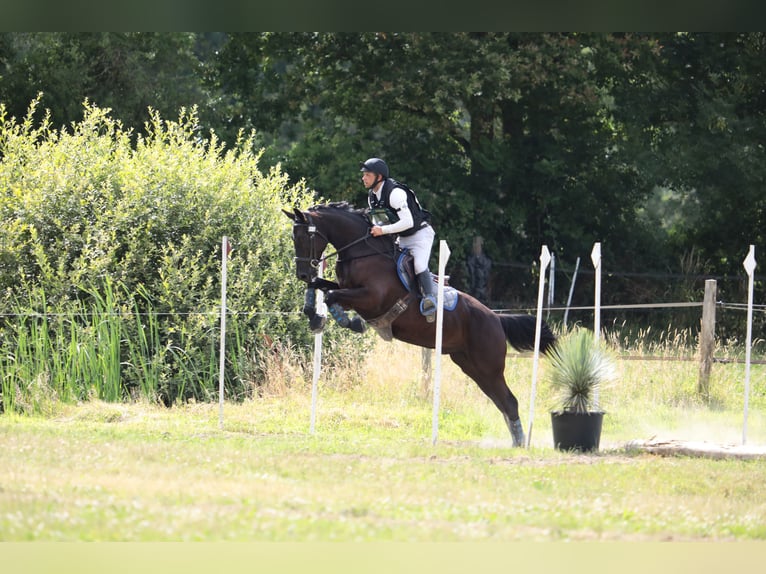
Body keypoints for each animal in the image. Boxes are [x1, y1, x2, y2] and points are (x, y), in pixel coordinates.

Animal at [282, 202, 556, 447]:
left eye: (305, 237)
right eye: (294, 237)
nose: (302, 273)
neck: (362, 252)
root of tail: (496, 319)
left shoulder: (370, 298)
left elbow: (331, 295)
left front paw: (345, 322)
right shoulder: (347, 290)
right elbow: (321, 287)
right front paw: (314, 314)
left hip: (488, 366)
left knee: (509, 401)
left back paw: (520, 444)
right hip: (471, 365)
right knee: (502, 401)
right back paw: (517, 441)